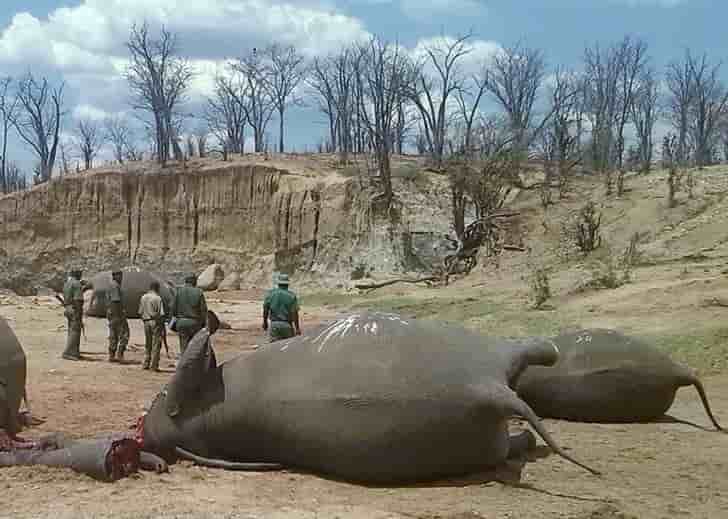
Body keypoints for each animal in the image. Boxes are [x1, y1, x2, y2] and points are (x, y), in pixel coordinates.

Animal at [138, 311, 600, 484]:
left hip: (473, 352)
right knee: (510, 438)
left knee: (520, 356)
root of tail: (486, 389)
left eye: (159, 392)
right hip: (475, 416)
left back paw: (549, 353)